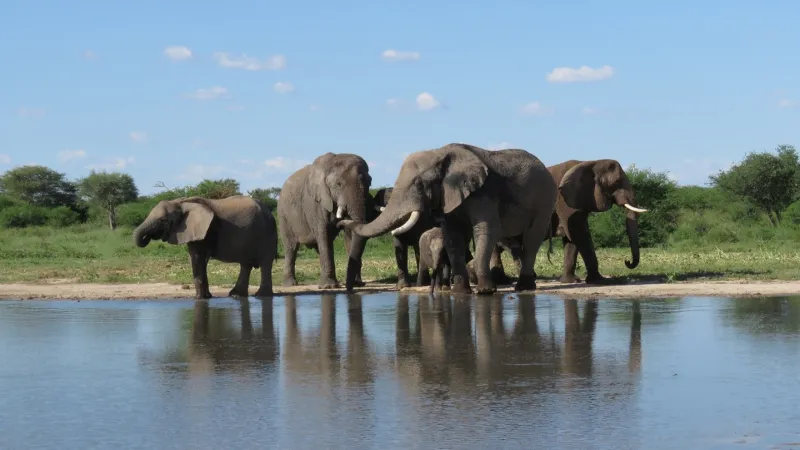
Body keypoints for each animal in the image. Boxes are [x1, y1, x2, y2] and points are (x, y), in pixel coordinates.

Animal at [132, 196, 278, 299]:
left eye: (163, 220)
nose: (147, 238)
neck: (181, 203)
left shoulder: (203, 231)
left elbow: (197, 258)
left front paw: (199, 298)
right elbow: (200, 260)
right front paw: (207, 297)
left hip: (267, 234)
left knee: (265, 263)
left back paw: (261, 296)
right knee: (246, 264)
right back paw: (236, 295)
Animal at [278, 152, 372, 290]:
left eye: (369, 182)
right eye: (338, 184)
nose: (349, 286)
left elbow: (350, 235)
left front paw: (357, 284)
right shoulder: (315, 203)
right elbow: (324, 234)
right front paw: (329, 287)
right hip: (284, 216)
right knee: (291, 248)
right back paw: (290, 284)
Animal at [339, 143, 557, 295]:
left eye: (418, 183)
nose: (341, 220)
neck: (439, 153)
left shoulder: (483, 192)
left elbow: (487, 229)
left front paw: (485, 291)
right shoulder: (450, 195)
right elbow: (452, 235)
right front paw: (460, 292)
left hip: (545, 199)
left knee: (532, 237)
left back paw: (524, 288)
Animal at [491, 159, 648, 284]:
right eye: (615, 183)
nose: (627, 261)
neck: (590, 162)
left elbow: (571, 239)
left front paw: (570, 281)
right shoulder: (564, 201)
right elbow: (578, 233)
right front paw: (600, 281)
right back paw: (503, 281)